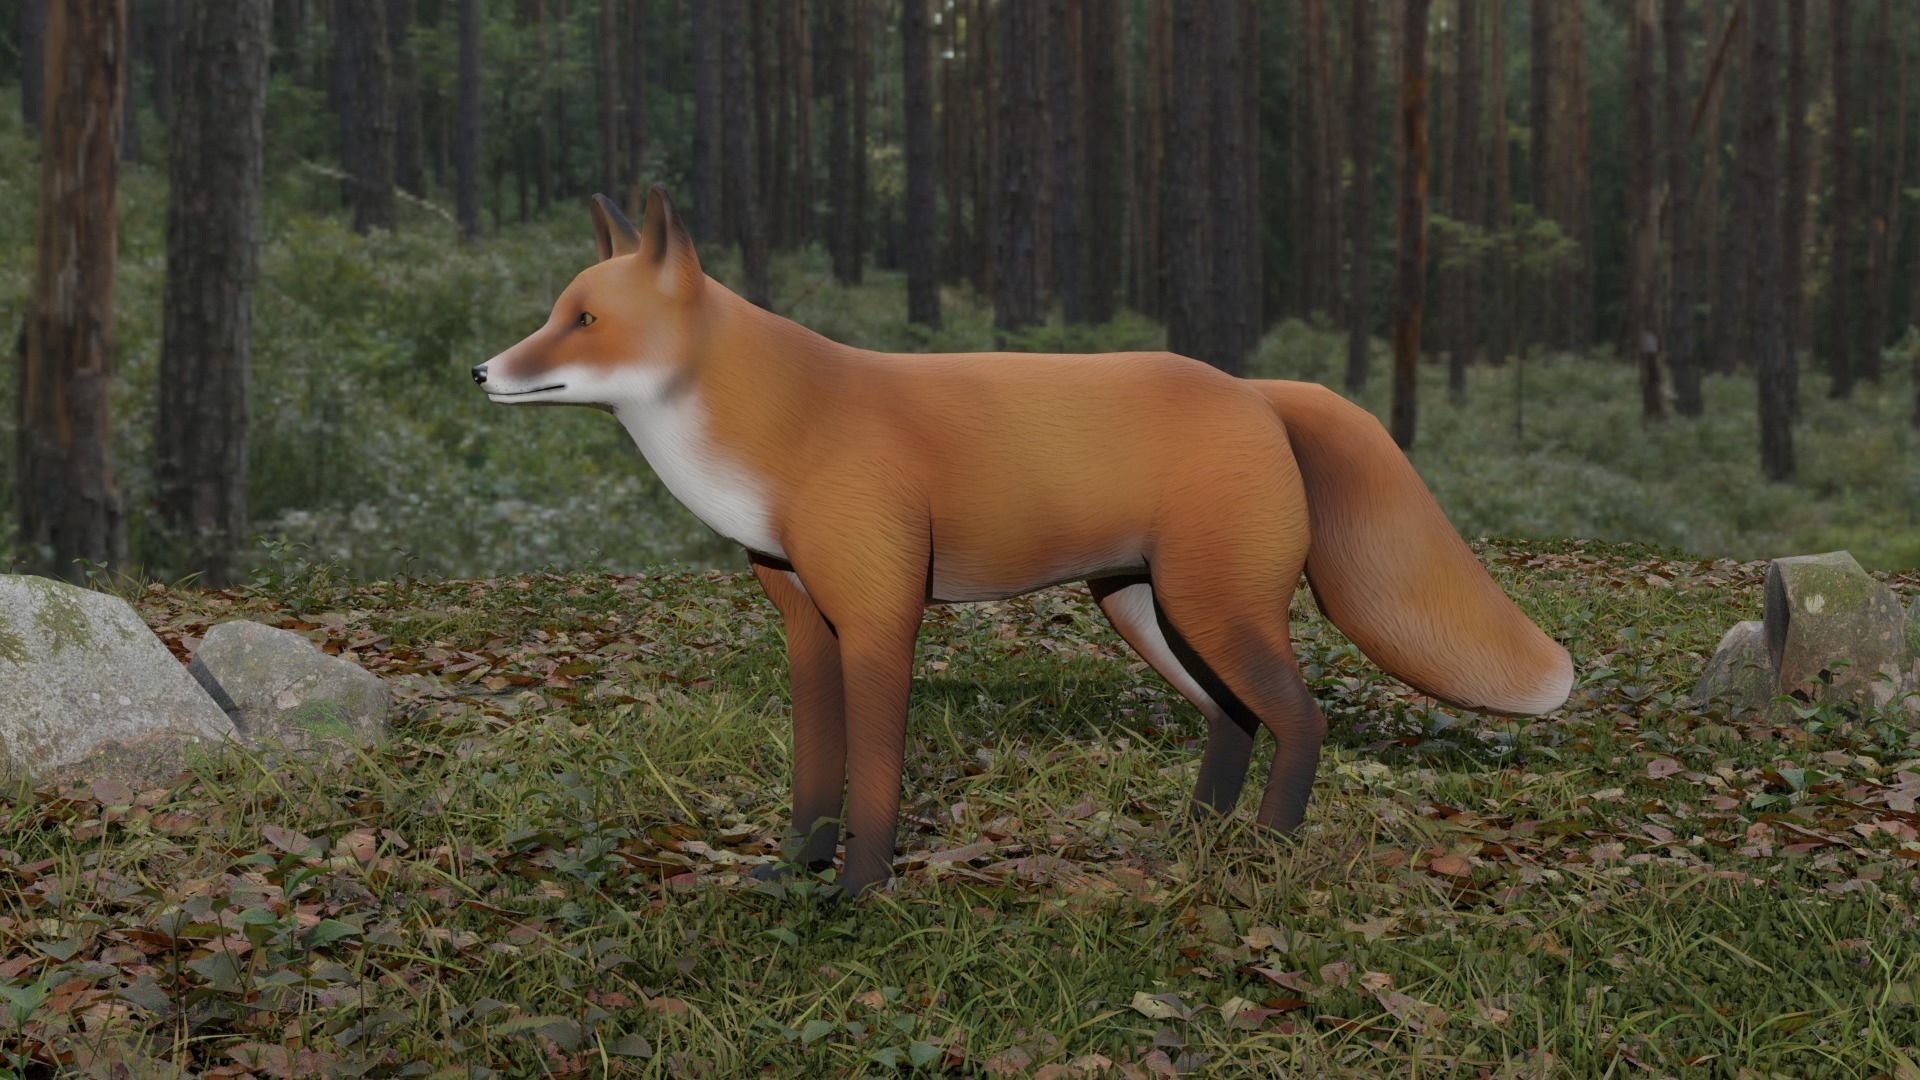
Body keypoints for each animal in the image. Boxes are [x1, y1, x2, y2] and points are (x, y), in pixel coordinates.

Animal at [474, 188, 1573, 897]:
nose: (482, 371)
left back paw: (1263, 856)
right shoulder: (807, 624)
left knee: (1303, 722)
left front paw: (859, 894)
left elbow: (873, 778)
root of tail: (1253, 388)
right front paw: (792, 871)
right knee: (1234, 719)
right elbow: (814, 773)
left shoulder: (881, 619)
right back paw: (1193, 839)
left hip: (1214, 608)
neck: (786, 430)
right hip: (1150, 614)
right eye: (554, 313)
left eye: (585, 319)